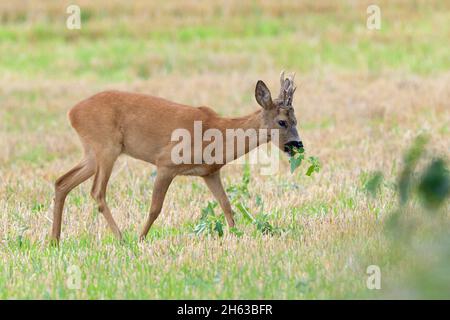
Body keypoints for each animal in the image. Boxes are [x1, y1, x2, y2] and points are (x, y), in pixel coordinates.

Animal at [52, 72, 302, 242]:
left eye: (296, 120)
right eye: (282, 122)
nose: (298, 145)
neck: (218, 135)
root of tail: (72, 113)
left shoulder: (210, 172)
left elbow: (226, 205)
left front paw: (236, 235)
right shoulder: (166, 163)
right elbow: (155, 208)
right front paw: (141, 238)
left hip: (92, 152)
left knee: (62, 182)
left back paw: (54, 240)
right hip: (107, 147)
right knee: (97, 191)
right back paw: (121, 239)